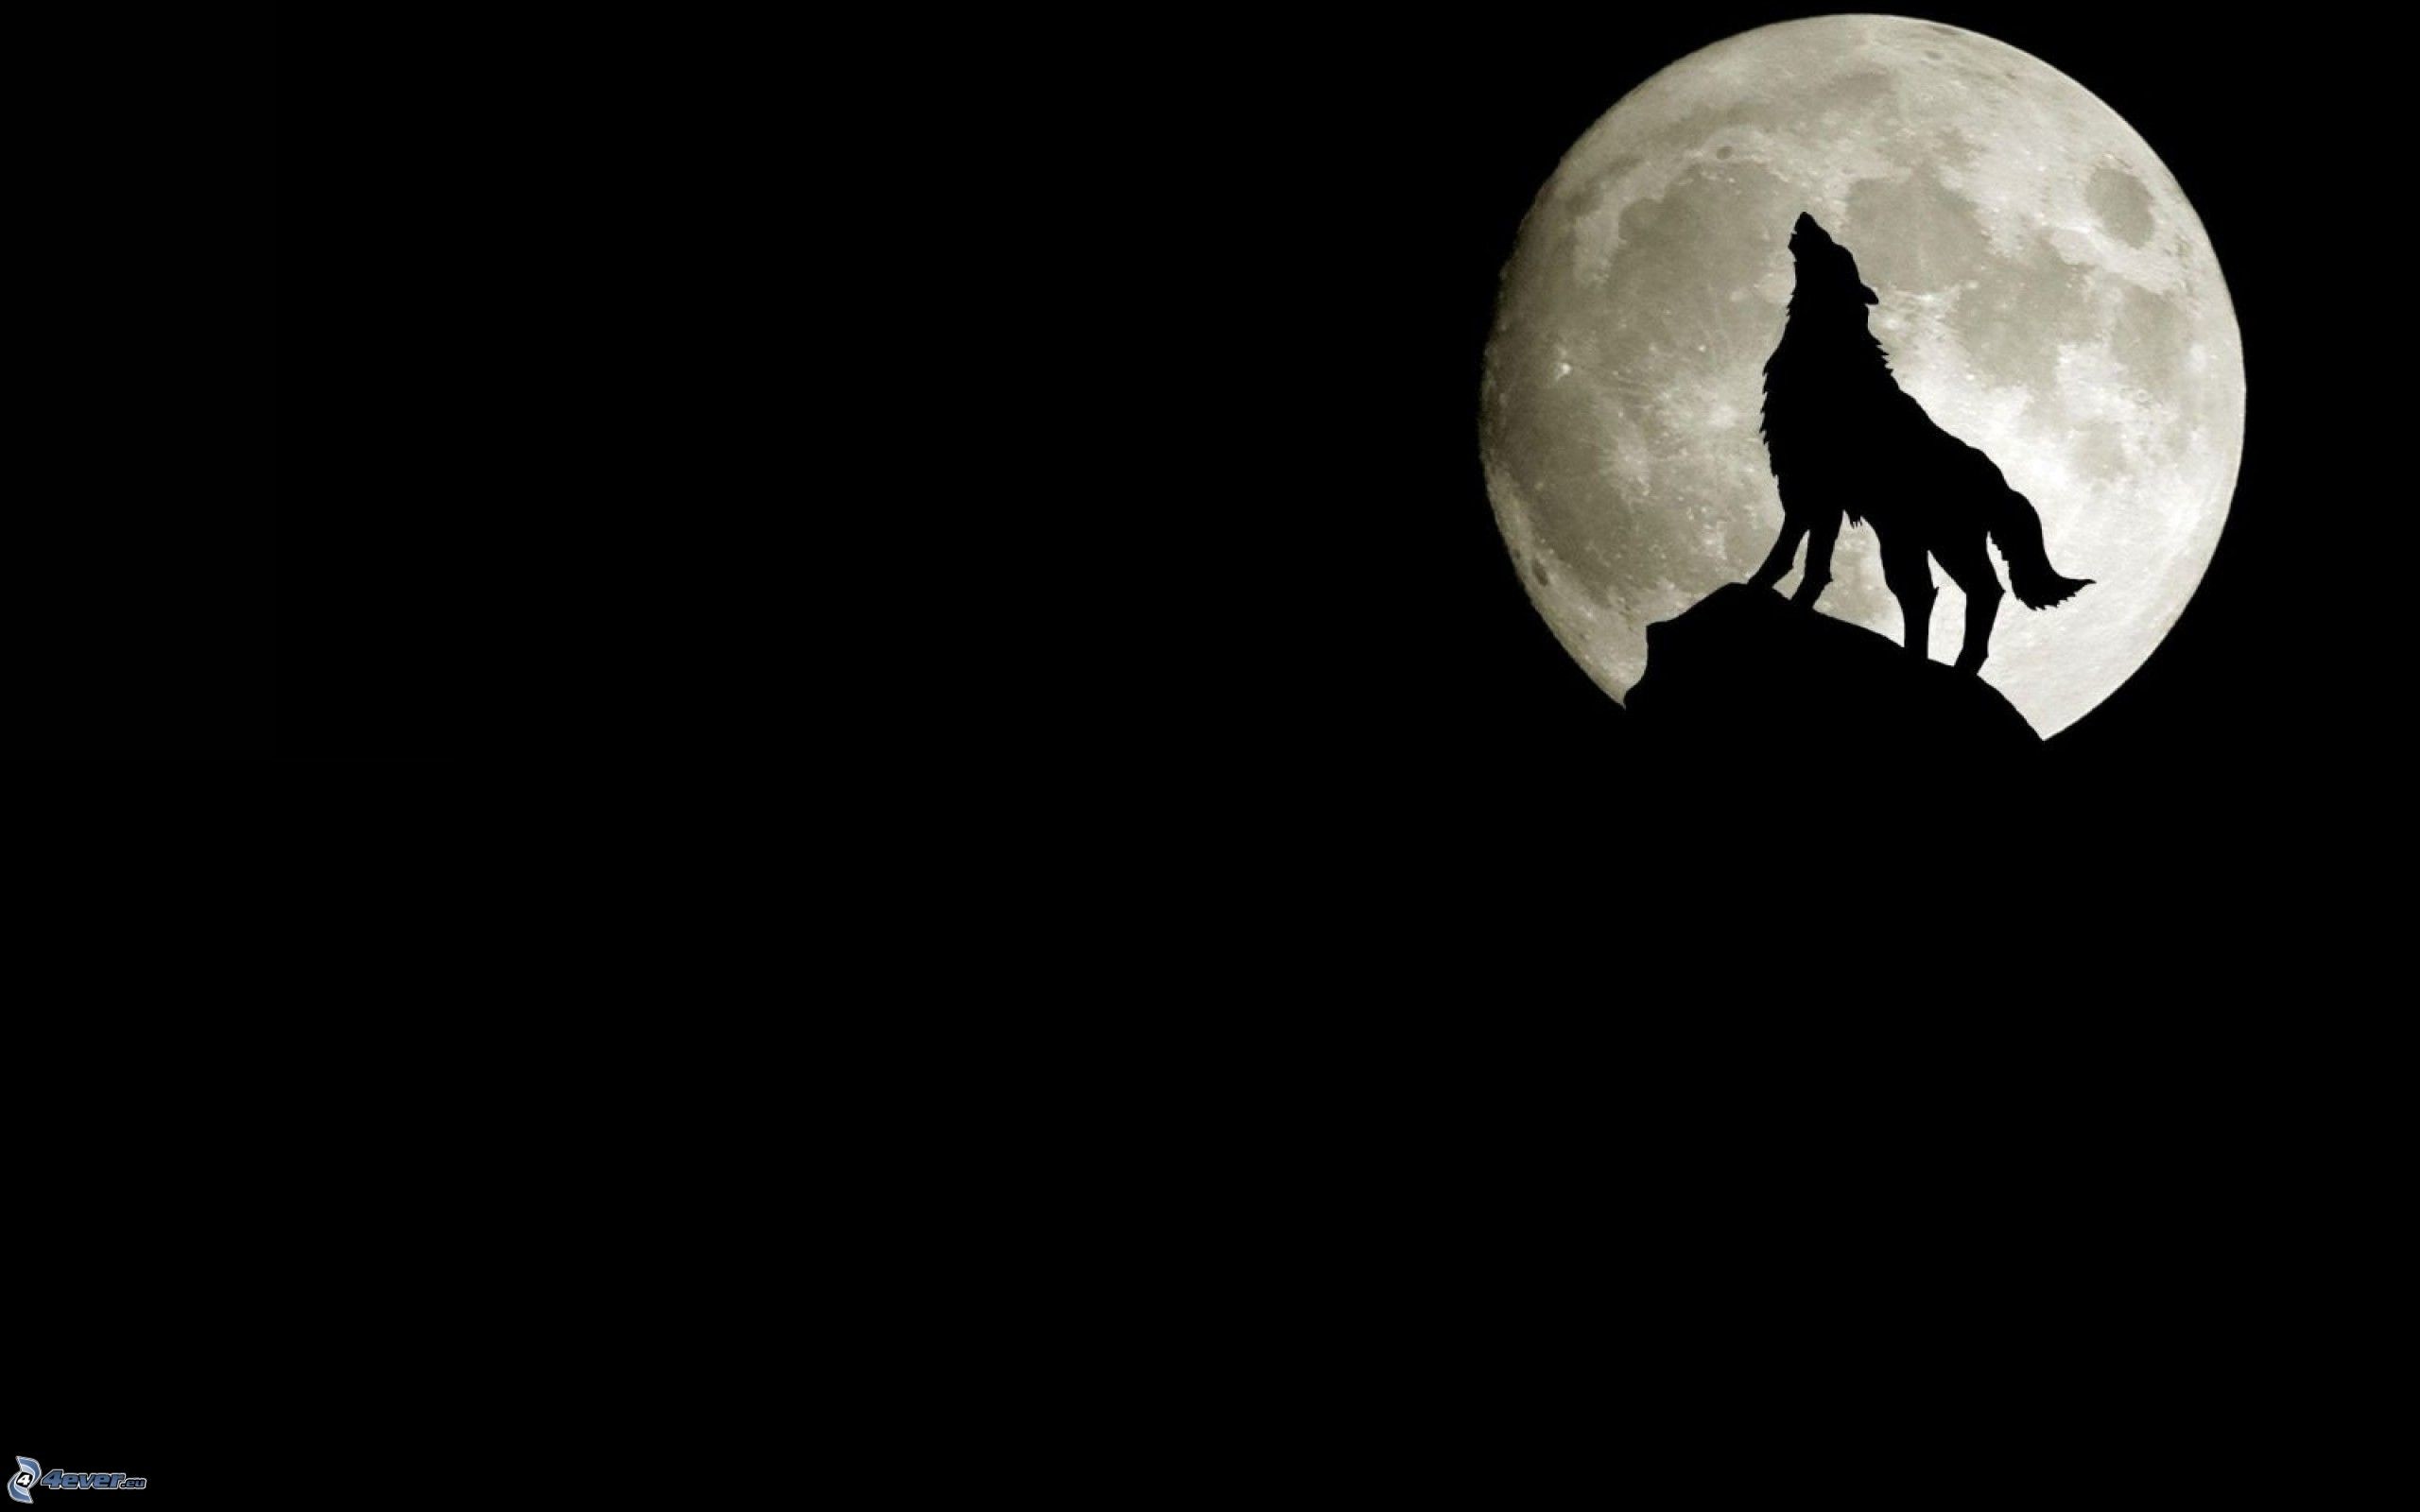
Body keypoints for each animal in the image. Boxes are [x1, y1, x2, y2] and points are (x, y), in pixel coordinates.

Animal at [1750, 212, 2091, 673]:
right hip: (1906, 540)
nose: (1807, 218)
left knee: (1981, 591)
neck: (1830, 351)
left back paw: (1958, 667)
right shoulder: (1810, 491)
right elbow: (1804, 558)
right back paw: (1923, 658)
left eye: (1838, 251)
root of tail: (2001, 482)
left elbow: (1798, 557)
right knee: (1921, 593)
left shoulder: (1816, 488)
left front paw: (1764, 591)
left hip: (1944, 542)